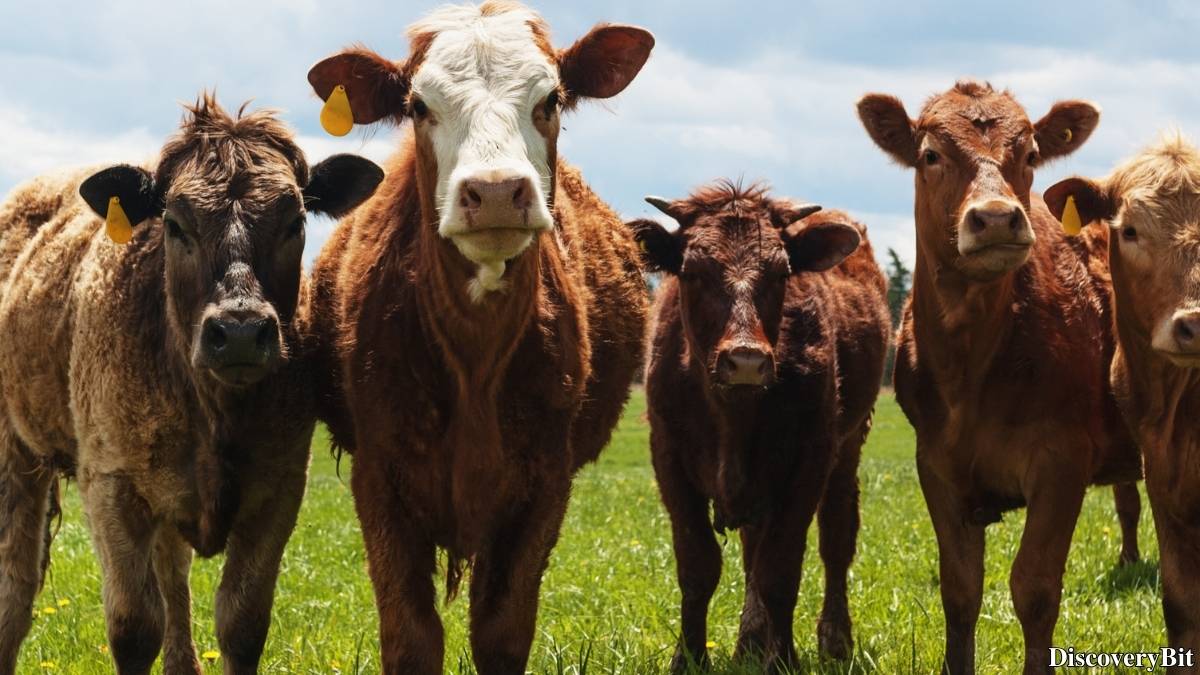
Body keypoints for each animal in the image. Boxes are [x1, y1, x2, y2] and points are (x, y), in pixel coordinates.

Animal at [0, 94, 382, 675]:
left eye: (295, 221)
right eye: (176, 224)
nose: (241, 332)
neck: (212, 412)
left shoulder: (278, 488)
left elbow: (241, 623)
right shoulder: (111, 486)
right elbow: (134, 628)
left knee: (171, 575)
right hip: (14, 456)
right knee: (15, 585)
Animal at [301, 2, 653, 673]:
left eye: (551, 98)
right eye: (418, 105)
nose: (493, 192)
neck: (475, 363)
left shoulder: (545, 483)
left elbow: (502, 630)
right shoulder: (378, 477)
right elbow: (411, 636)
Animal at [631, 182, 890, 672]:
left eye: (781, 273)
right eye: (692, 271)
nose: (746, 359)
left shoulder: (808, 462)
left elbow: (780, 570)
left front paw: (782, 658)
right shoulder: (668, 458)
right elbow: (699, 566)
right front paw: (689, 657)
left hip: (847, 450)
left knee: (836, 539)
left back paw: (834, 641)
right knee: (753, 549)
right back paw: (749, 640)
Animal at [857, 80, 1142, 674]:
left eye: (1030, 155)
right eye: (930, 155)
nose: (994, 217)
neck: (973, 369)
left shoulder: (1062, 463)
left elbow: (1034, 588)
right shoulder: (936, 466)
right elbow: (960, 589)